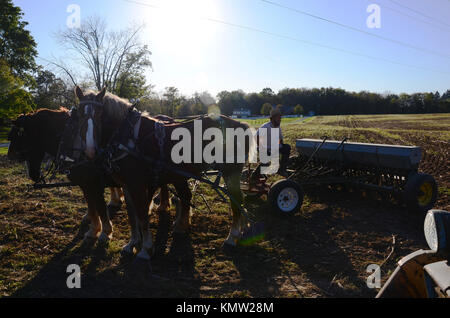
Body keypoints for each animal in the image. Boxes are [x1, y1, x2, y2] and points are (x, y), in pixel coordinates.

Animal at [75, 86, 255, 260]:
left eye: (100, 113)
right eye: (78, 113)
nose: (89, 150)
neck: (129, 136)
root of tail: (241, 124)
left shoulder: (136, 184)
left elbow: (142, 214)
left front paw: (146, 249)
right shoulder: (126, 185)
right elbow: (132, 216)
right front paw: (132, 243)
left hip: (230, 171)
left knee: (236, 201)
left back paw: (232, 237)